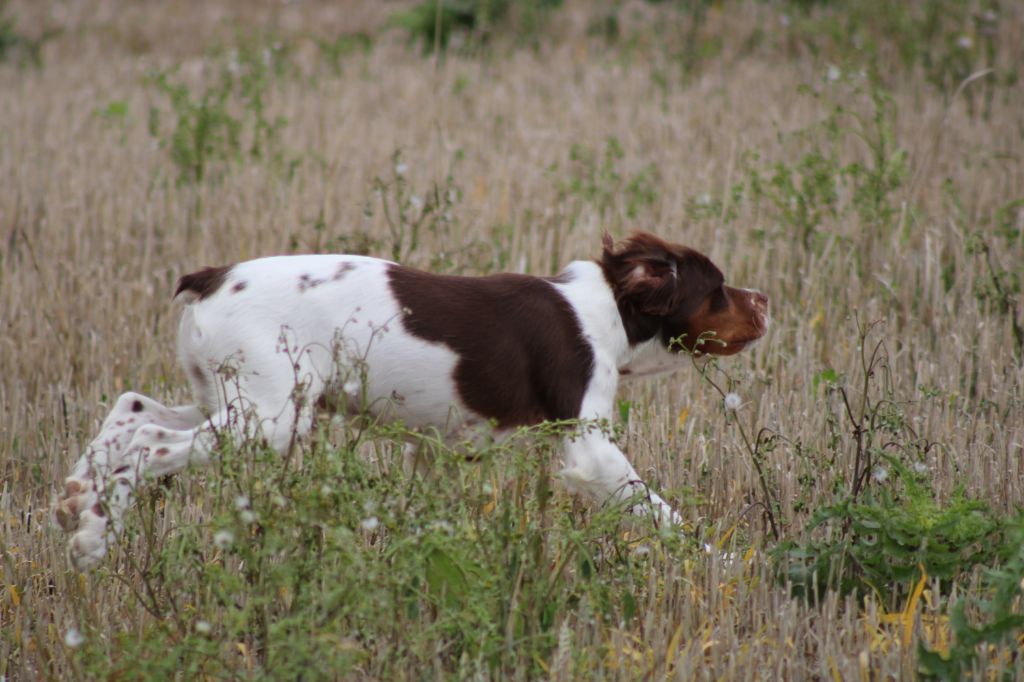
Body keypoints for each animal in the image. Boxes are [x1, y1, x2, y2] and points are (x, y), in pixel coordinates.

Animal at [51, 231, 765, 565]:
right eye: (717, 289)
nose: (766, 301)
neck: (608, 312)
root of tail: (212, 279)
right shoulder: (588, 447)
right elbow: (661, 512)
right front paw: (727, 561)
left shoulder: (439, 448)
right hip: (269, 418)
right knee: (147, 442)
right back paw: (94, 538)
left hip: (229, 399)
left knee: (129, 410)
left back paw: (78, 503)